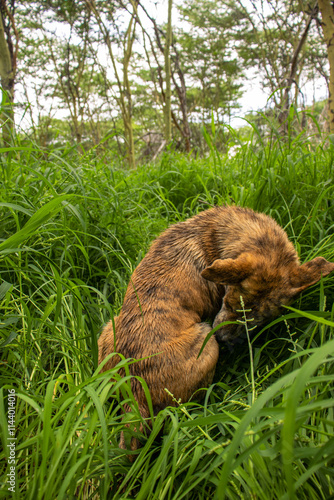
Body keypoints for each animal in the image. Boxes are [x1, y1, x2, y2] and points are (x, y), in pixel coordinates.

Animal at [98, 205, 332, 436]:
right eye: (228, 303)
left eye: (256, 322)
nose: (222, 338)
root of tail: (136, 392)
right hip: (205, 340)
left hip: (109, 328)